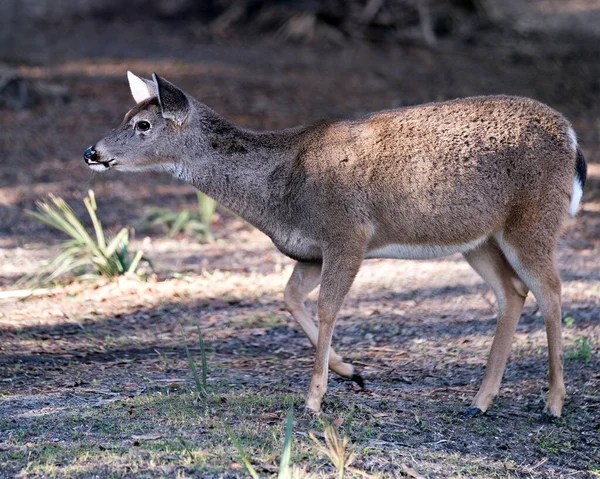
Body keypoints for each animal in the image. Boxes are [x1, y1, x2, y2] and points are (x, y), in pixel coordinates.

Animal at [84, 72, 584, 420]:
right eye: (126, 117)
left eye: (143, 124)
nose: (92, 152)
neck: (279, 195)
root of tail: (573, 137)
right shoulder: (310, 250)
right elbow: (289, 297)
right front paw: (353, 372)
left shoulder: (348, 232)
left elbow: (327, 307)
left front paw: (313, 399)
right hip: (477, 237)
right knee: (512, 292)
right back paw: (479, 401)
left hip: (534, 218)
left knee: (552, 290)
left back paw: (553, 404)